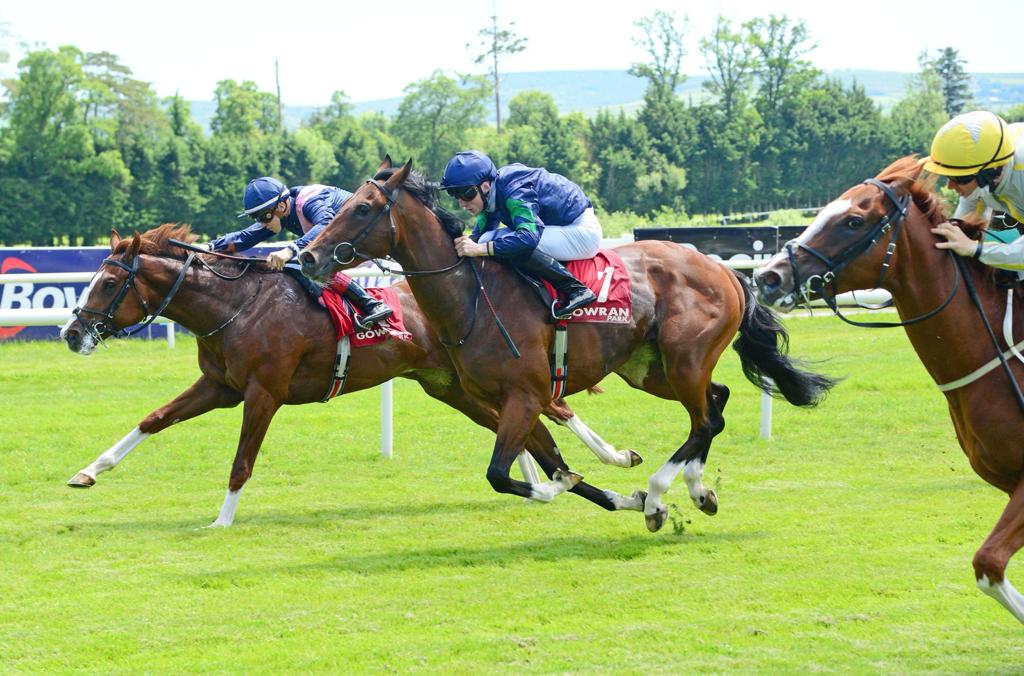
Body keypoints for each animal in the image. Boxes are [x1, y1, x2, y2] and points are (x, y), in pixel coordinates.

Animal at [59, 224, 638, 524]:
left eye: (108, 281)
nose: (70, 332)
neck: (235, 306)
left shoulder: (263, 392)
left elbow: (242, 462)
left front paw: (222, 519)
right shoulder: (220, 386)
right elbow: (154, 419)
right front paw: (88, 471)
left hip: (479, 378)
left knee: (552, 407)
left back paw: (610, 461)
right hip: (450, 386)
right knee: (523, 424)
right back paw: (584, 485)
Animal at [299, 159, 831, 532]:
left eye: (361, 208)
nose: (309, 257)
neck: (472, 298)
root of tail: (724, 269)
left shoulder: (526, 395)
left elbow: (505, 474)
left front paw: (585, 486)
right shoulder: (513, 400)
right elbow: (548, 463)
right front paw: (609, 488)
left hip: (684, 361)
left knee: (705, 420)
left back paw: (660, 495)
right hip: (649, 369)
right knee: (716, 403)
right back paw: (698, 493)